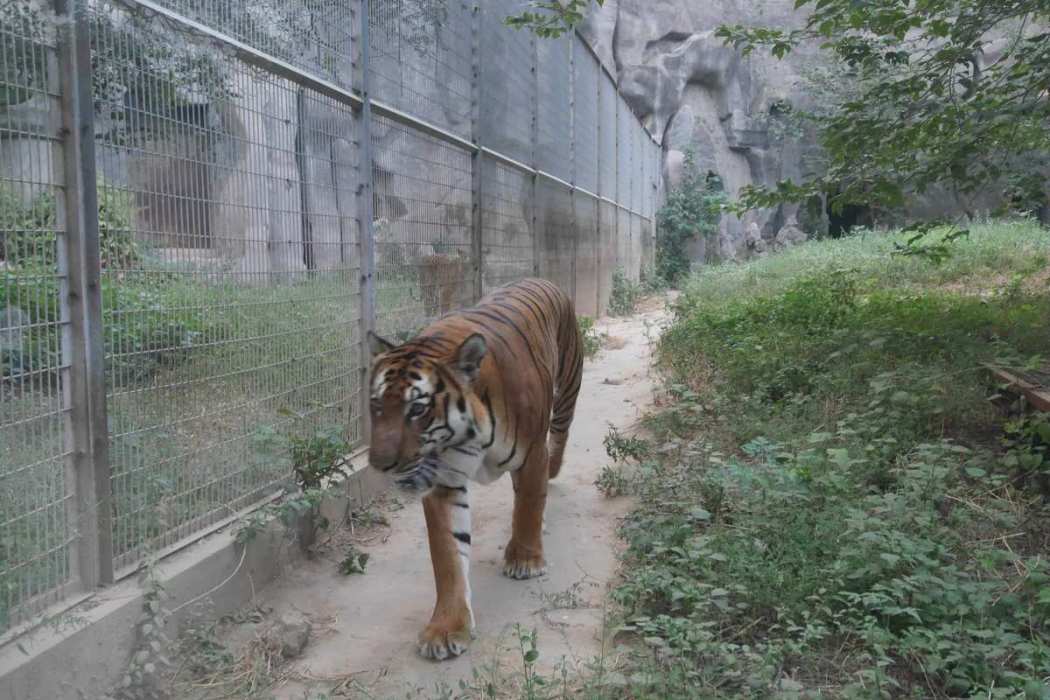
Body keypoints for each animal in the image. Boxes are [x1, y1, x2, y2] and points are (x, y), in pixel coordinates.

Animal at [367, 277, 583, 659]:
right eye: (376, 405)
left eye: (417, 409)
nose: (380, 464)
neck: (465, 434)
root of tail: (541, 279)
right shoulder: (444, 482)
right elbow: (448, 556)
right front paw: (446, 628)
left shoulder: (531, 454)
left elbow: (528, 505)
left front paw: (525, 560)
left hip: (569, 385)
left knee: (560, 434)